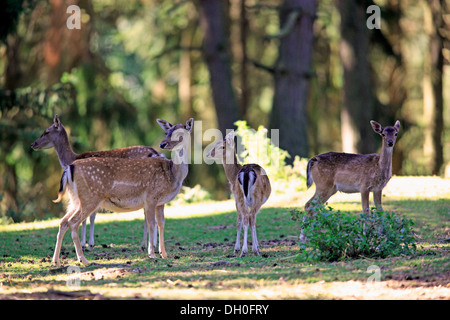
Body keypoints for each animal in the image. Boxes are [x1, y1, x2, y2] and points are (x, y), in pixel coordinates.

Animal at [30, 115, 160, 250]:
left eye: (46, 131)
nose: (33, 144)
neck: (70, 159)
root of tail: (155, 153)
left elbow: (88, 217)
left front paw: (86, 243)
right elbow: (92, 216)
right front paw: (89, 242)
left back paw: (146, 244)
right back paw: (152, 245)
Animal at [51, 119, 193, 266]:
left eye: (179, 134)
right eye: (167, 132)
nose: (163, 144)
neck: (173, 175)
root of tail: (69, 168)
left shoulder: (161, 202)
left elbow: (161, 223)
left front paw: (164, 254)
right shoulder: (150, 197)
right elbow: (151, 223)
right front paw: (152, 254)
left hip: (75, 199)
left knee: (63, 222)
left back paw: (56, 261)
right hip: (89, 197)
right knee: (73, 223)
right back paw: (83, 259)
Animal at [207, 130, 270, 258]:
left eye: (222, 146)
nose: (208, 154)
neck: (232, 177)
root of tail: (246, 172)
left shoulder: (236, 199)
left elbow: (239, 222)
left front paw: (239, 248)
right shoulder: (238, 199)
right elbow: (244, 221)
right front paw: (252, 247)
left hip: (245, 197)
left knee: (248, 217)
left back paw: (246, 250)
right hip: (254, 197)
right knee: (249, 217)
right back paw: (248, 250)